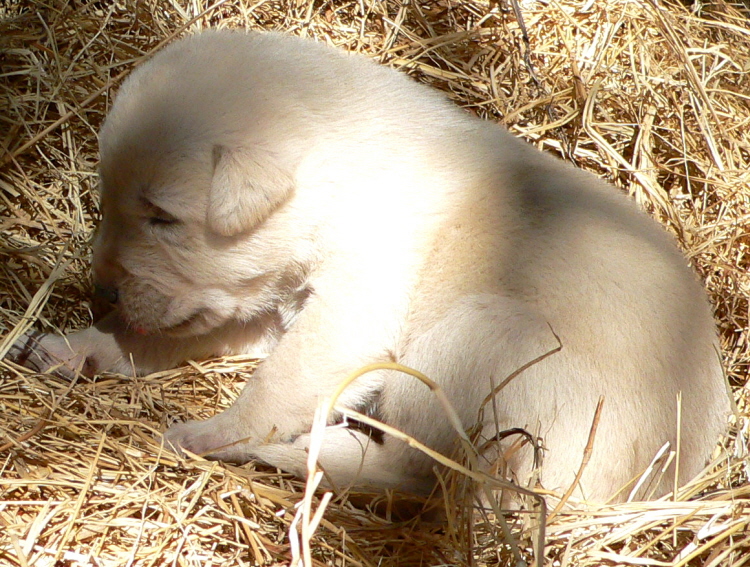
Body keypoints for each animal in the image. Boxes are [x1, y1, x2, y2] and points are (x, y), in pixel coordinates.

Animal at [10, 30, 728, 502]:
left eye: (163, 216)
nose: (99, 292)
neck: (339, 180)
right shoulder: (274, 307)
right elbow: (180, 339)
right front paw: (82, 347)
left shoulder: (349, 311)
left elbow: (278, 382)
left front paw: (214, 432)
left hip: (478, 338)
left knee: (416, 470)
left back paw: (289, 452)